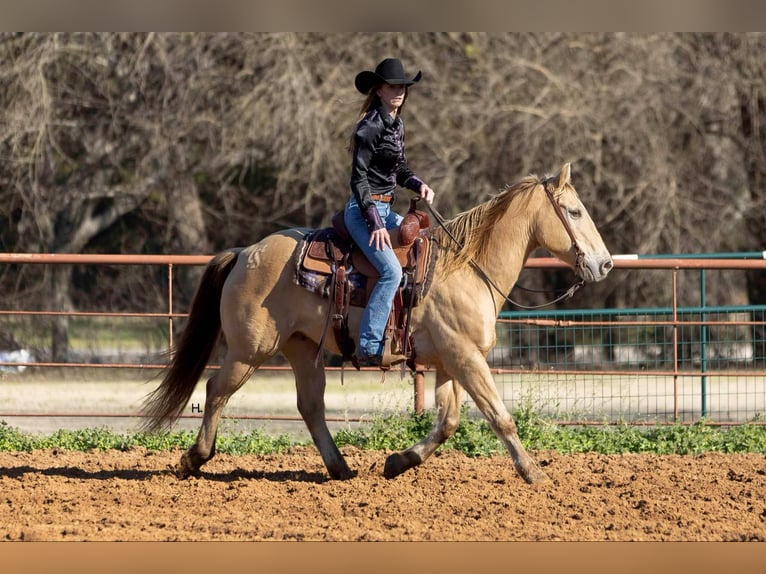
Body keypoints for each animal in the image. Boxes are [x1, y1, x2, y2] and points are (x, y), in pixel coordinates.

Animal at [142, 163, 612, 486]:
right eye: (574, 211)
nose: (605, 263)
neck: (466, 267)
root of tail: (244, 253)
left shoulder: (450, 362)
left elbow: (448, 421)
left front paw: (398, 461)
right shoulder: (465, 357)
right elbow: (500, 417)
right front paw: (534, 473)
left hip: (301, 350)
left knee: (310, 406)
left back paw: (340, 468)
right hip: (249, 351)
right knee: (216, 391)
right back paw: (194, 458)